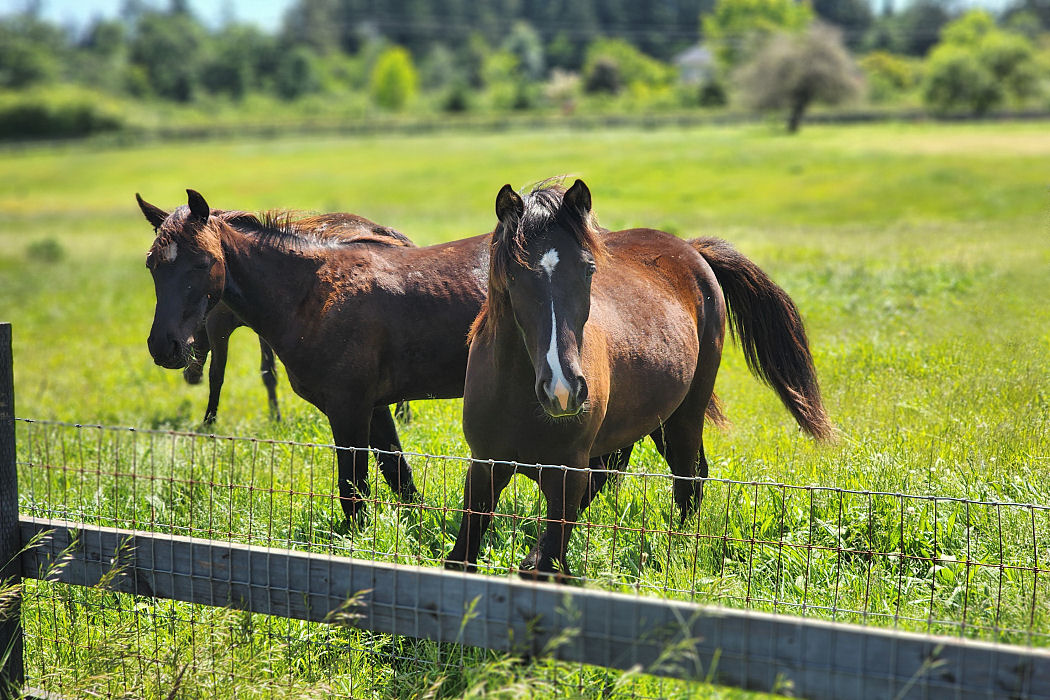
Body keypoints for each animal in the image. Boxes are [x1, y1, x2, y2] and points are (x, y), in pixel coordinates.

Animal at [136, 188, 491, 522]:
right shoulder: (374, 407)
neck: (315, 295)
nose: (164, 346)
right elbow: (397, 474)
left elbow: (353, 489)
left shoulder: (349, 409)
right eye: (151, 265)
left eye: (202, 262)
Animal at [447, 179, 831, 579]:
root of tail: (691, 249)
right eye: (514, 274)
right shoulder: (485, 466)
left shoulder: (566, 475)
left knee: (689, 478)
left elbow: (550, 558)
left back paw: (680, 549)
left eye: (588, 270)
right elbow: (461, 558)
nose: (563, 390)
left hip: (683, 416)